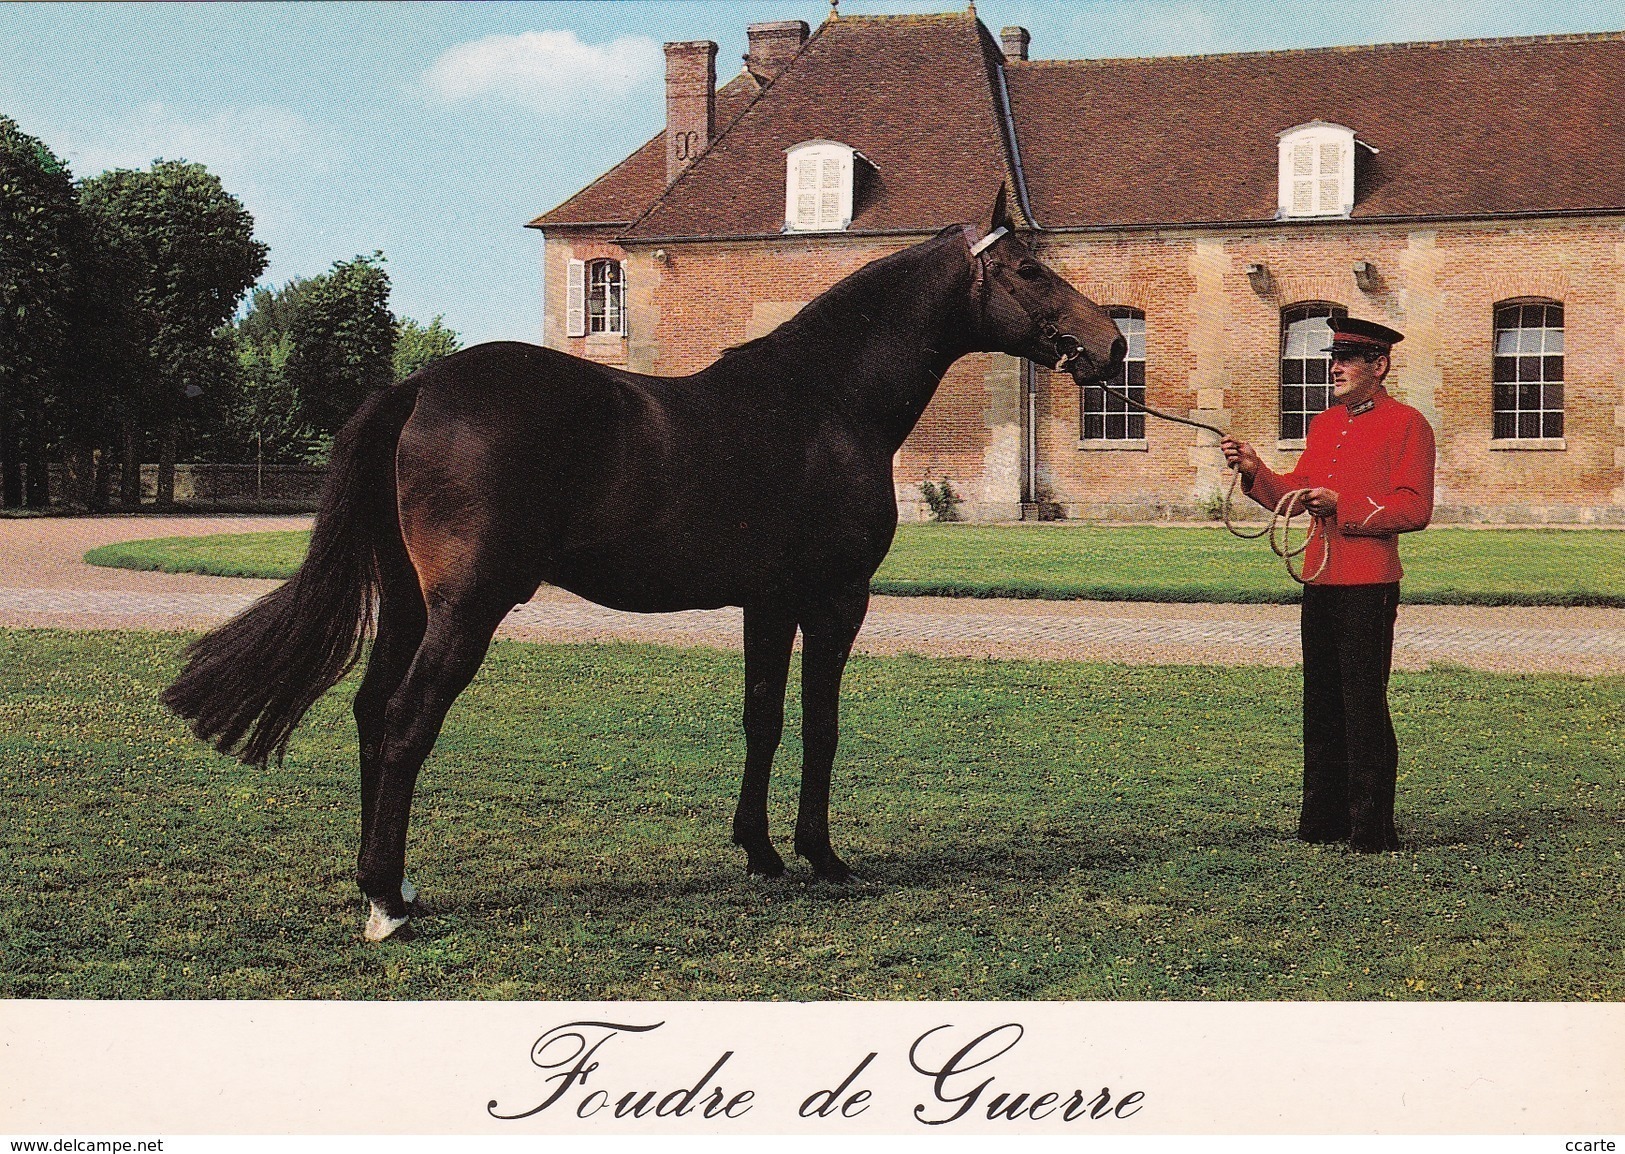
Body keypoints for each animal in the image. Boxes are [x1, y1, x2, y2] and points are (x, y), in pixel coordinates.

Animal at [168, 196, 1131, 942]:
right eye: (1030, 271)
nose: (1110, 346)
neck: (823, 402)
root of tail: (418, 388)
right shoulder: (835, 600)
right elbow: (819, 725)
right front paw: (822, 855)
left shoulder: (766, 603)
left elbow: (762, 719)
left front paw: (761, 851)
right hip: (468, 608)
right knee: (406, 721)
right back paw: (385, 903)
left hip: (409, 603)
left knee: (371, 712)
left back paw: (393, 882)